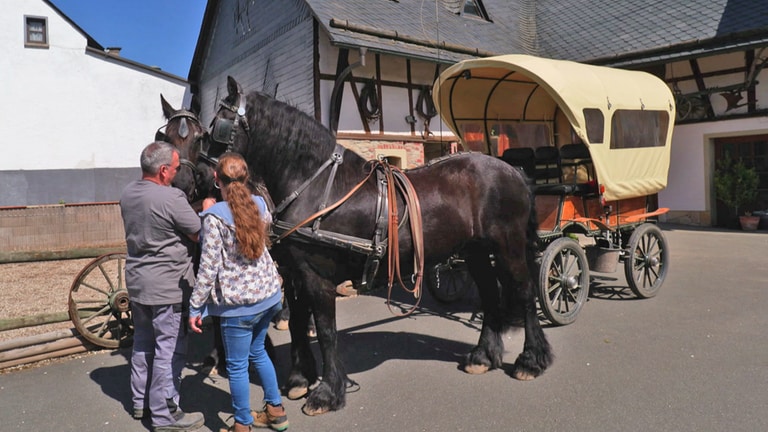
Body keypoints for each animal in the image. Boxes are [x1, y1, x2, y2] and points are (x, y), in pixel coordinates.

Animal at [208, 77, 552, 416]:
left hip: (508, 247)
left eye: (219, 125)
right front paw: (299, 379)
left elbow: (326, 331)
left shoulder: (318, 277)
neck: (316, 187)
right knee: (491, 295)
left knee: (525, 293)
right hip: (476, 252)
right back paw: (482, 357)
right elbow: (296, 323)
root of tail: (514, 172)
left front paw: (327, 393)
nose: (209, 178)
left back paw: (531, 361)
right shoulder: (295, 274)